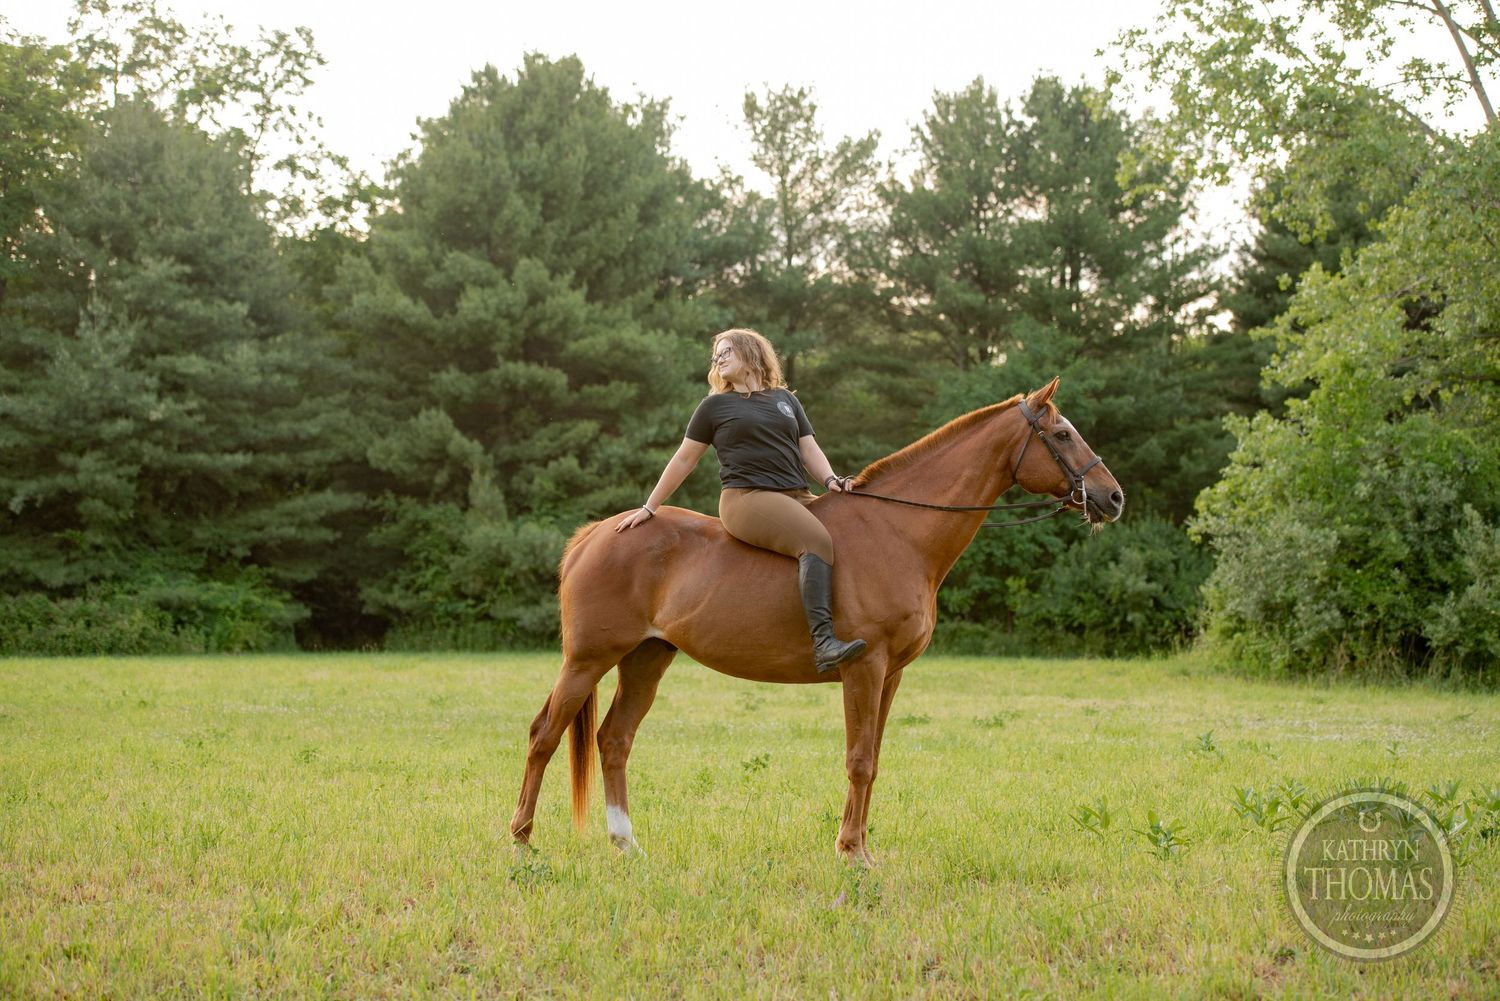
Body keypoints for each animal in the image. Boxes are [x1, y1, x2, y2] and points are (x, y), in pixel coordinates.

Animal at [509, 377, 1123, 864]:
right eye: (1062, 435)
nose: (1112, 497)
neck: (898, 532)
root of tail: (600, 533)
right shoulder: (864, 668)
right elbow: (859, 760)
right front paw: (851, 854)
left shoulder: (891, 674)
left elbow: (874, 758)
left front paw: (863, 849)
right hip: (588, 658)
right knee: (544, 735)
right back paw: (521, 839)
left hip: (646, 658)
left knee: (614, 740)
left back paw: (625, 843)